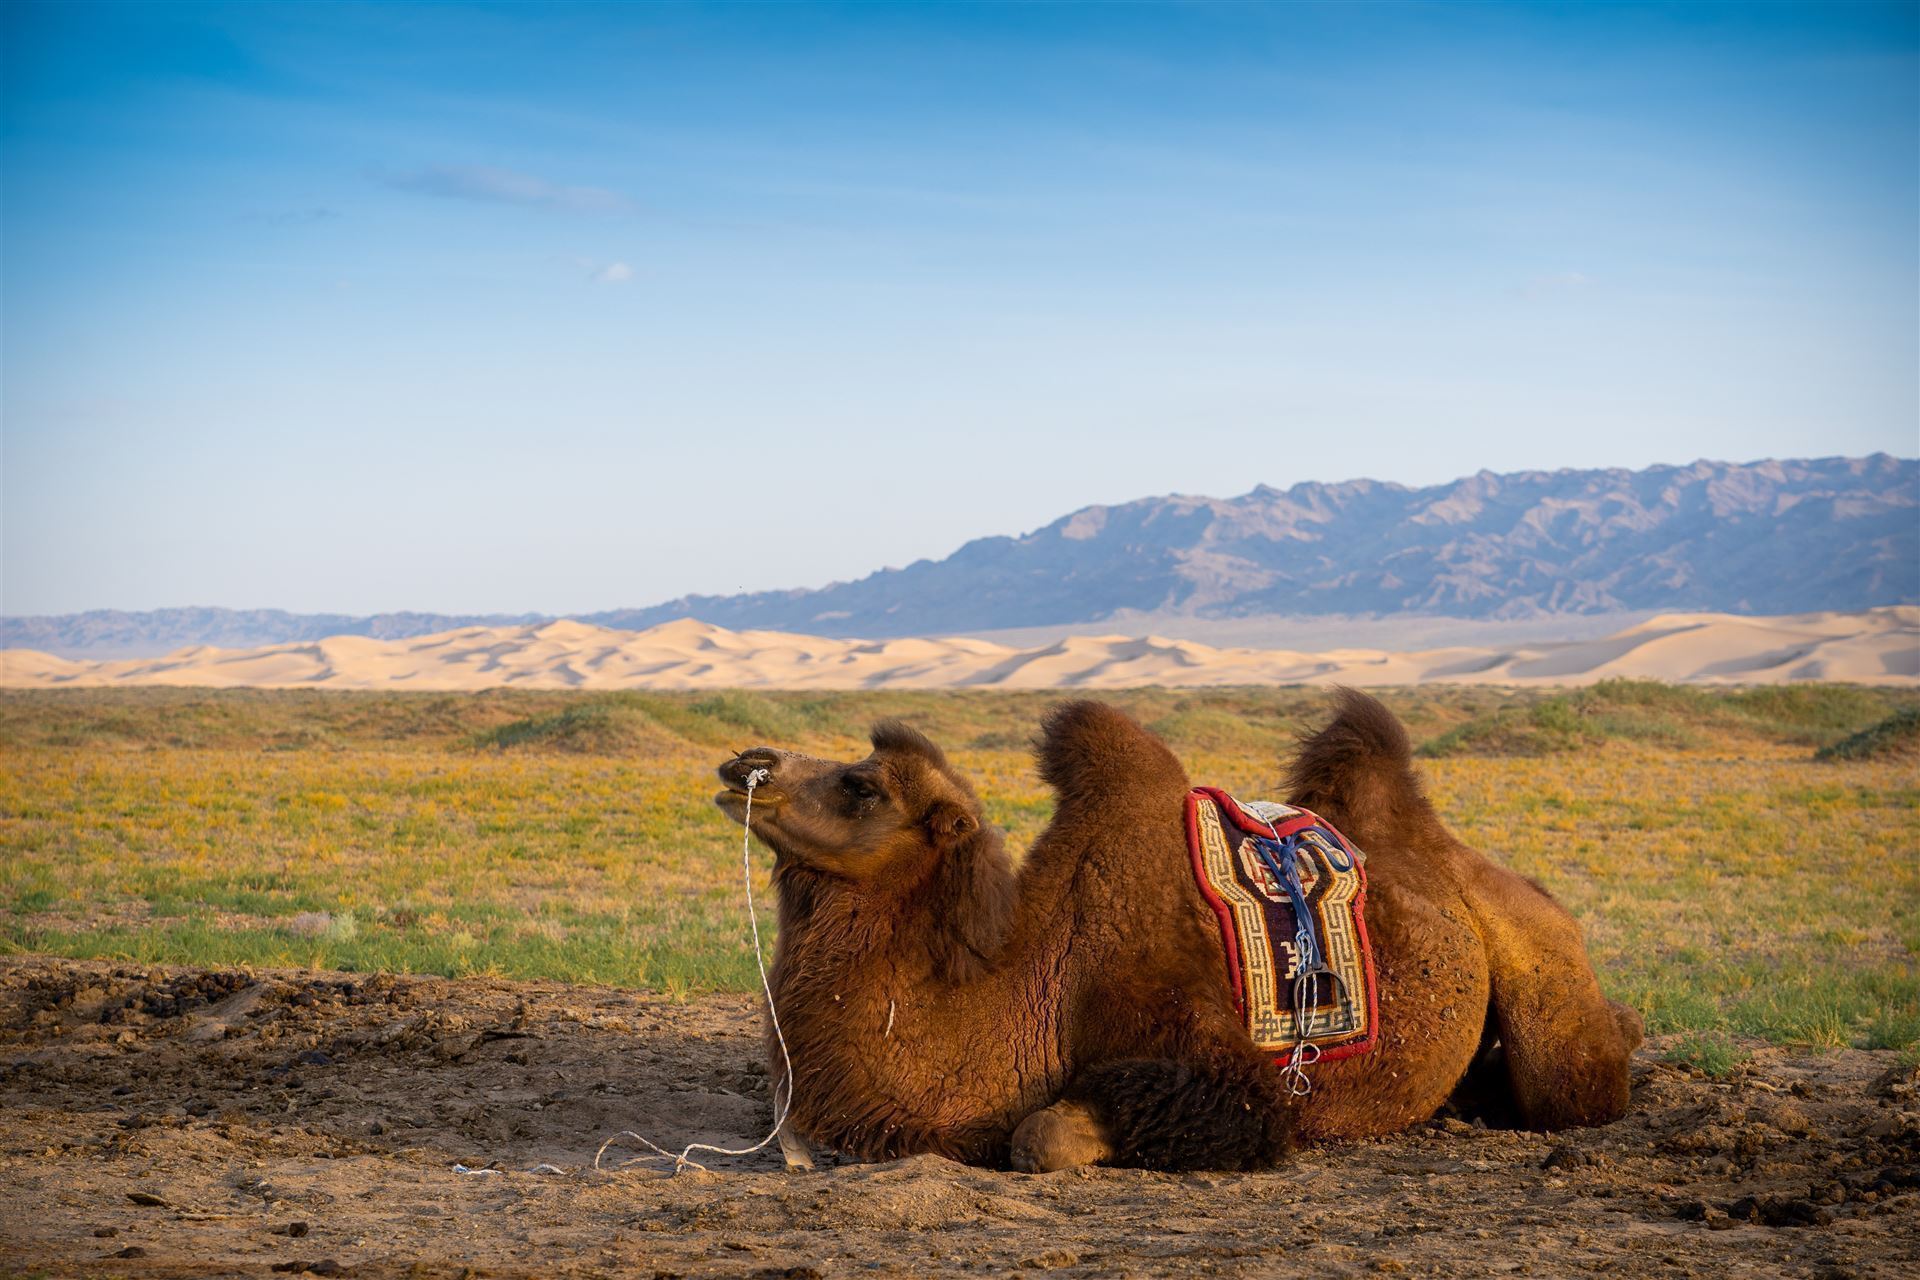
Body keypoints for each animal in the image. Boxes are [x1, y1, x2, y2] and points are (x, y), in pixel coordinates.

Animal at [713, 691, 1642, 1172]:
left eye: (861, 785)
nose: (745, 763)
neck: (1036, 975)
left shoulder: (1219, 1065)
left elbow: (1038, 1134)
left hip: (1550, 997)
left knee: (1579, 1078)